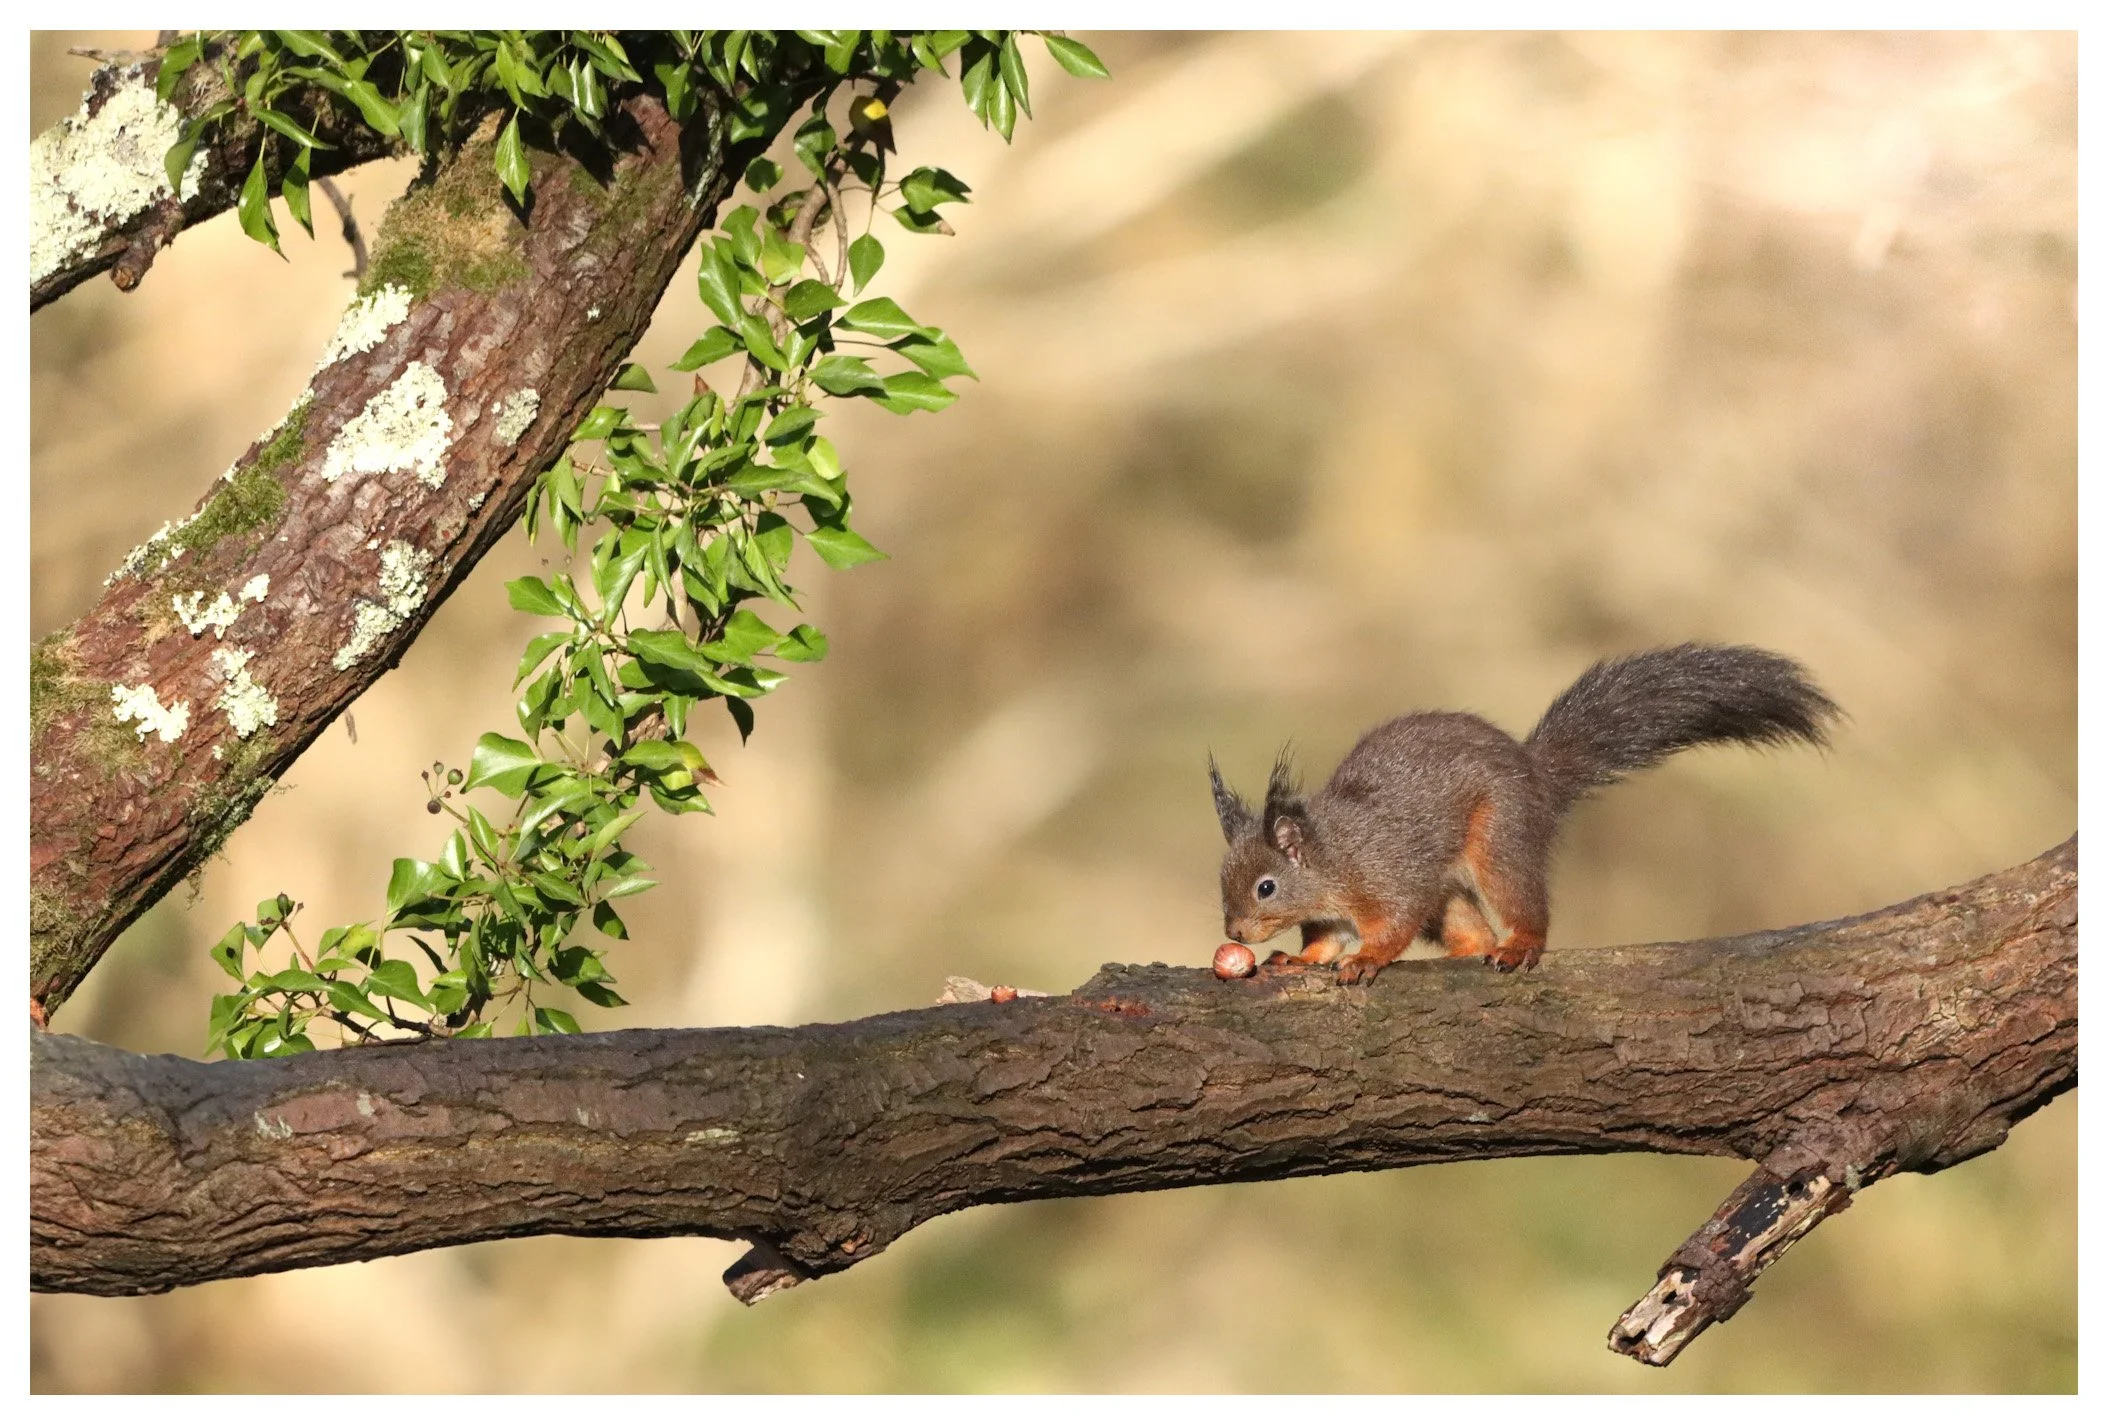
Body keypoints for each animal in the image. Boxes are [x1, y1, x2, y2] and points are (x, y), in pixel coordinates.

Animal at [1209, 643, 1839, 985]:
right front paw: (1299, 958)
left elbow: (1393, 925)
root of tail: (1536, 775)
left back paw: (1520, 944)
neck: (1332, 857)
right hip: (1454, 896)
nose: (1234, 931)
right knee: (1472, 930)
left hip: (1498, 839)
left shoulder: (1391, 877)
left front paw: (1367, 959)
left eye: (1266, 886)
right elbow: (1327, 940)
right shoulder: (1336, 910)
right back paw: (1477, 948)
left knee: (1521, 905)